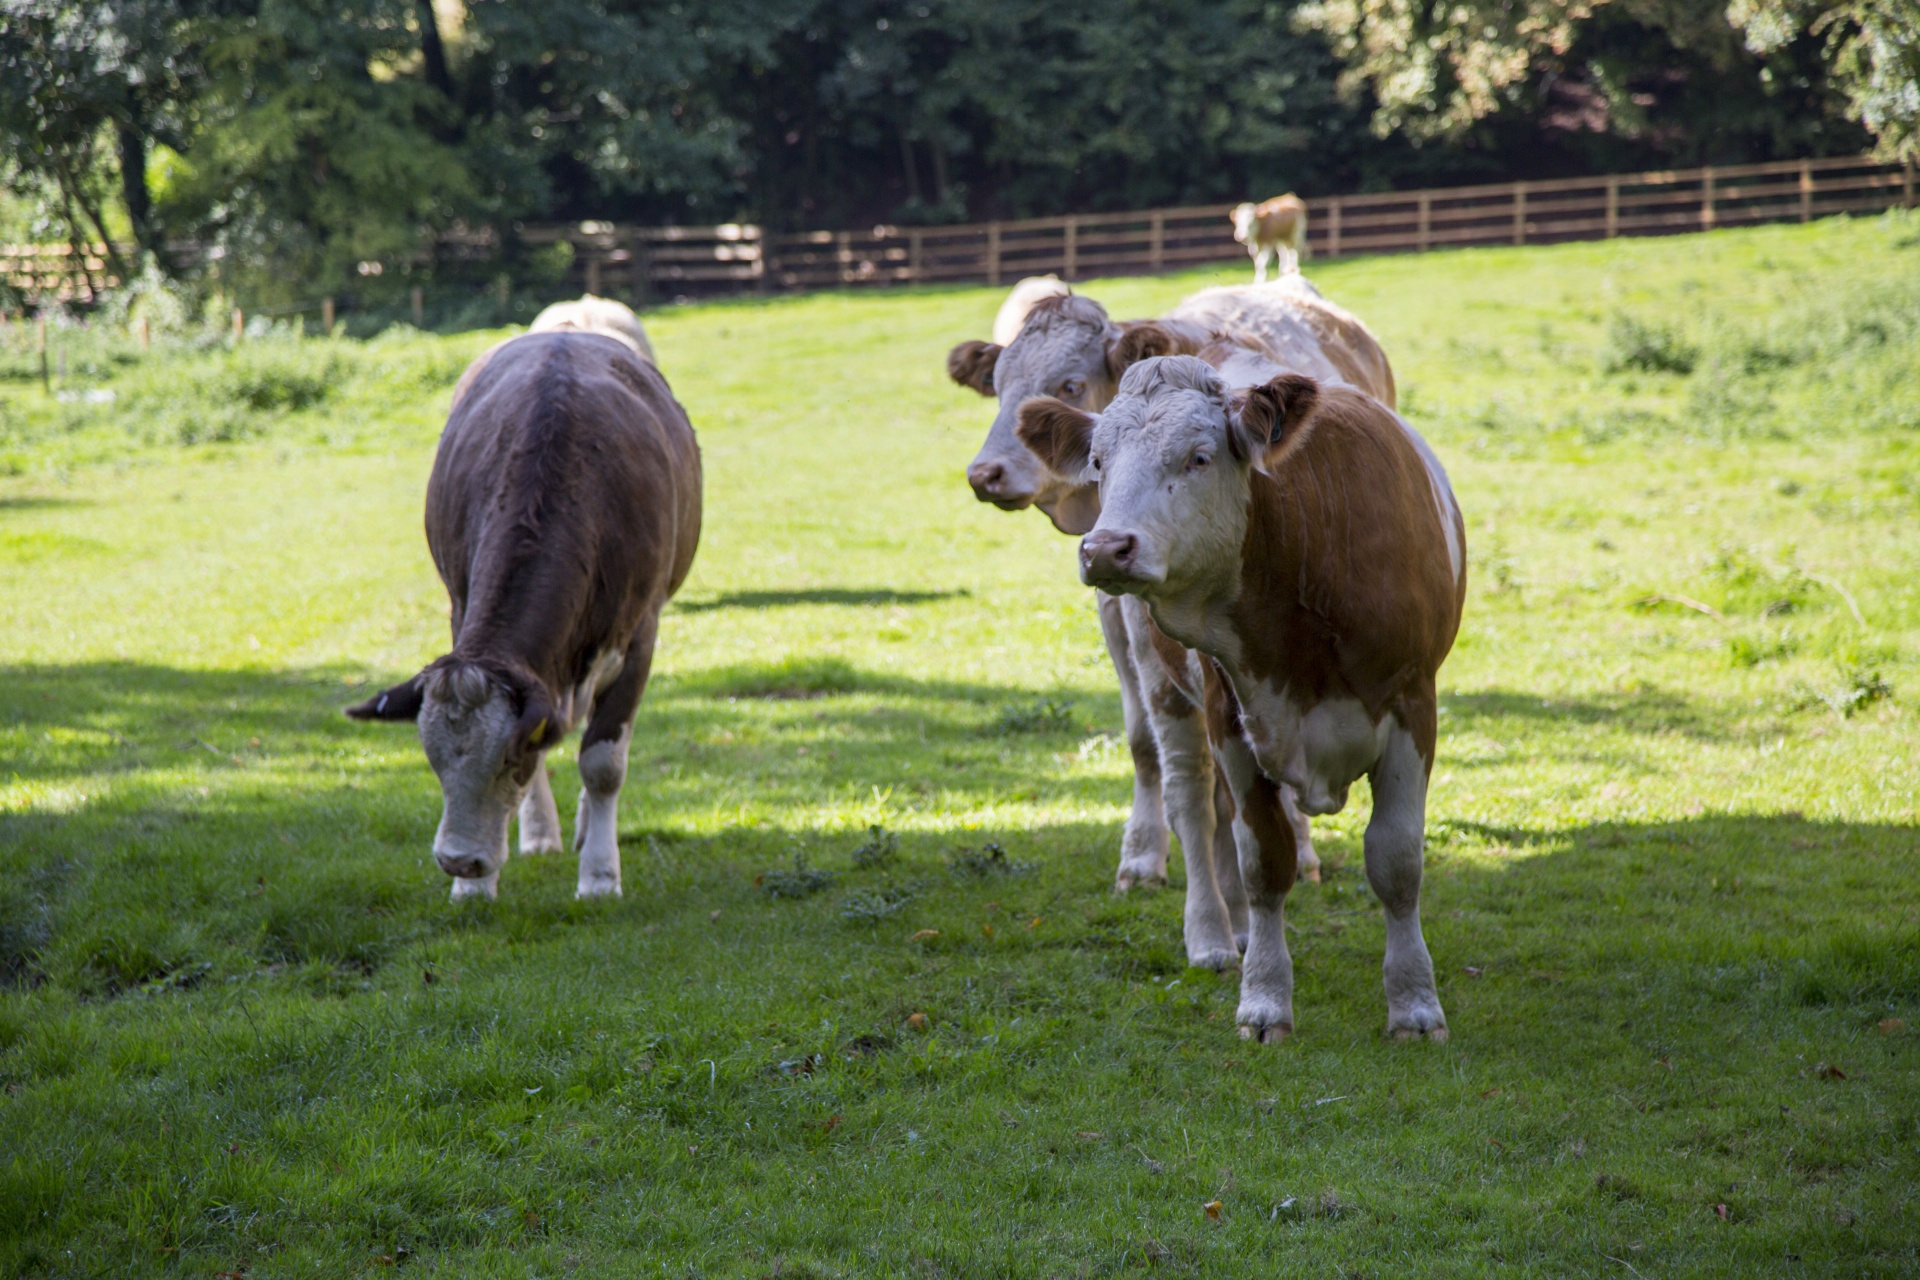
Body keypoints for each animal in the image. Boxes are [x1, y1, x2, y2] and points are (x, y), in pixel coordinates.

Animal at [349, 297, 702, 901]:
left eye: (507, 759)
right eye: (433, 762)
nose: (459, 860)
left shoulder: (640, 637)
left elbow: (603, 761)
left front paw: (600, 877)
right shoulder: (463, 610)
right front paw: (478, 888)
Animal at [944, 276, 1397, 967]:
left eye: (1069, 384)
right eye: (997, 384)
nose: (985, 474)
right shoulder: (1122, 617)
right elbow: (1151, 750)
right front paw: (1146, 864)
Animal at [1029, 351, 1459, 1043]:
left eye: (1199, 457)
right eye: (1098, 461)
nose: (1104, 549)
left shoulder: (1413, 706)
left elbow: (1395, 860)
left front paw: (1416, 1006)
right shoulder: (1230, 715)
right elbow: (1264, 862)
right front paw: (1264, 1001)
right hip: (1162, 686)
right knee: (1192, 803)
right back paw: (1211, 933)